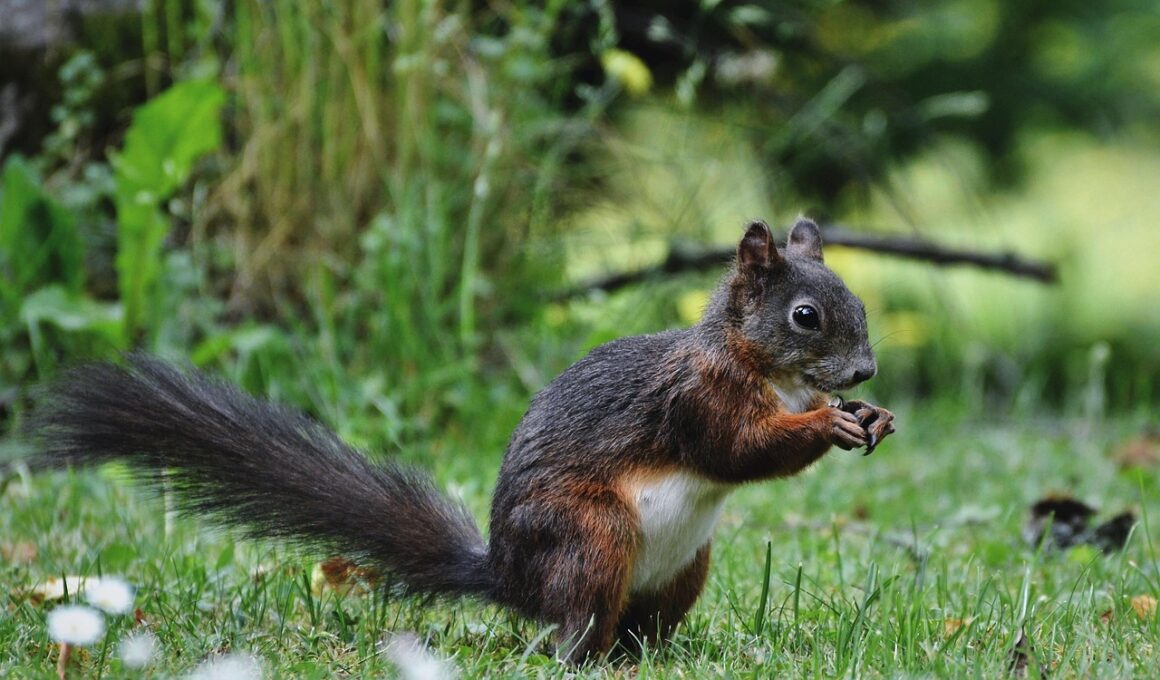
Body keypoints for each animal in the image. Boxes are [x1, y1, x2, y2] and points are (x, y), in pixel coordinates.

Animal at [27, 218, 894, 664]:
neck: (766, 370)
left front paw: (873, 418)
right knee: (573, 627)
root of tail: (510, 578)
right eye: (805, 317)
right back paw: (582, 656)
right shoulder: (696, 398)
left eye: (856, 301)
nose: (864, 370)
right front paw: (825, 423)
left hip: (685, 568)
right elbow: (734, 450)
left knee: (637, 627)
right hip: (589, 533)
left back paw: (657, 657)